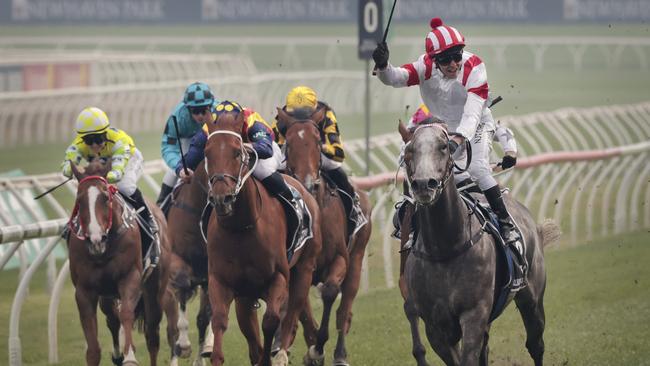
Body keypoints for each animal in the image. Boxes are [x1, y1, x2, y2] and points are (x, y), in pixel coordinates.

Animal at [67, 160, 177, 366]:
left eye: (105, 197)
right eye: (79, 199)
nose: (96, 239)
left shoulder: (130, 277)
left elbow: (127, 312)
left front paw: (130, 356)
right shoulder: (84, 291)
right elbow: (93, 348)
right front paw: (117, 354)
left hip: (154, 288)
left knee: (152, 334)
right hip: (107, 295)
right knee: (111, 317)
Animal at [202, 110, 322, 364]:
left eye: (237, 152)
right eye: (207, 153)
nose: (222, 199)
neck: (241, 227)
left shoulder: (278, 277)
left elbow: (271, 321)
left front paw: (271, 357)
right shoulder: (222, 281)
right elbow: (220, 320)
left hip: (304, 269)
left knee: (292, 314)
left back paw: (283, 354)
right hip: (246, 295)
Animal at [276, 108, 372, 366]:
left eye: (318, 141)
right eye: (288, 144)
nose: (308, 183)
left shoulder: (339, 258)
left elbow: (329, 292)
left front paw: (318, 349)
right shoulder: (298, 266)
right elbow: (299, 307)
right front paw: (306, 348)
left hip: (357, 258)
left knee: (344, 310)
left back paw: (339, 354)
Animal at [398, 121, 560, 364]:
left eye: (444, 147)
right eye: (408, 151)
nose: (424, 184)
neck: (444, 248)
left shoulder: (474, 313)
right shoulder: (435, 327)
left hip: (532, 299)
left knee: (535, 344)